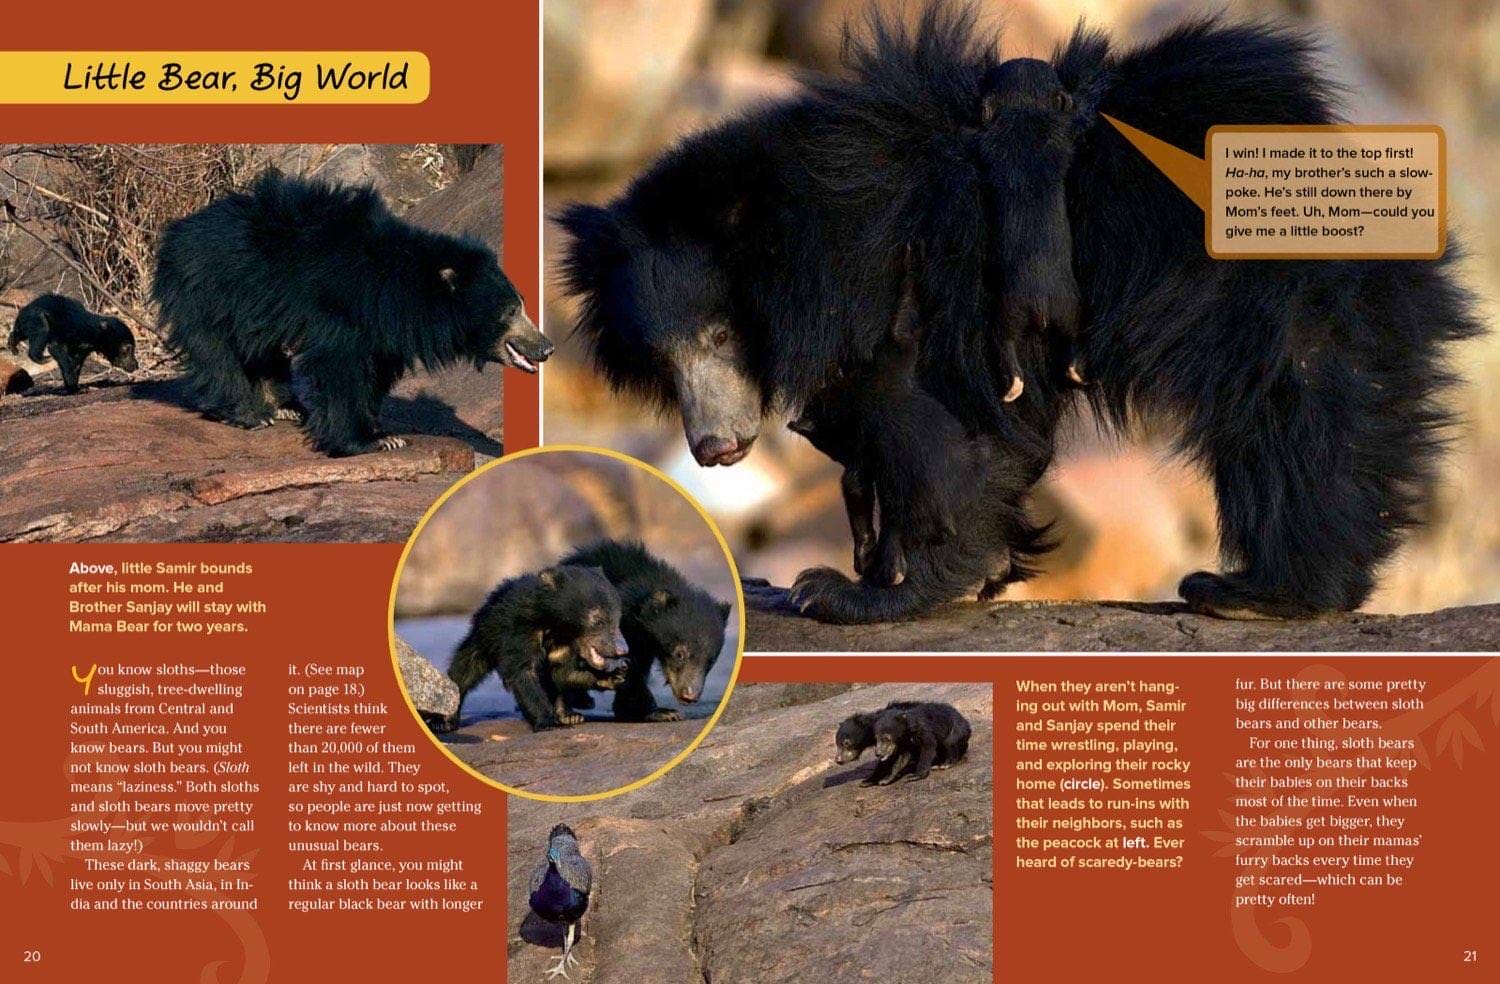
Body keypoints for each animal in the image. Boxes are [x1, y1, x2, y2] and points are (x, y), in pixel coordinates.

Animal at [7, 293, 138, 393]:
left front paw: (74, 386)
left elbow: (77, 363)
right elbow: (59, 352)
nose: (136, 365)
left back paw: (12, 345)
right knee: (40, 332)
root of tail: (23, 311)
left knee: (18, 333)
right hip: (37, 319)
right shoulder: (70, 334)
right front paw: (73, 387)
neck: (94, 331)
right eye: (128, 349)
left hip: (26, 323)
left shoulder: (82, 349)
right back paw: (43, 358)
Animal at [153, 168, 553, 457]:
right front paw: (370, 441)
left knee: (260, 350)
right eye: (511, 310)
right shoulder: (342, 308)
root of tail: (176, 233)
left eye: (521, 305)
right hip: (210, 290)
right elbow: (340, 367)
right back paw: (250, 414)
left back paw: (284, 405)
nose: (546, 347)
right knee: (217, 352)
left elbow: (373, 370)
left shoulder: (382, 329)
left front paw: (380, 430)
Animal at [446, 565, 629, 732]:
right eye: (598, 621)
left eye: (618, 620)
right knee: (467, 666)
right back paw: (447, 720)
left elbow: (564, 673)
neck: (556, 625)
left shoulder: (565, 644)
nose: (622, 649)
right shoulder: (521, 629)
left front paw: (613, 675)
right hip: (487, 632)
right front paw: (549, 722)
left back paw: (570, 715)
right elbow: (524, 671)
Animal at [558, 7, 1481, 621]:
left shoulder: (927, 276)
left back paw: (1261, 590)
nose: (714, 448)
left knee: (1294, 417)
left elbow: (935, 422)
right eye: (663, 358)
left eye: (719, 334)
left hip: (1268, 295)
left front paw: (866, 591)